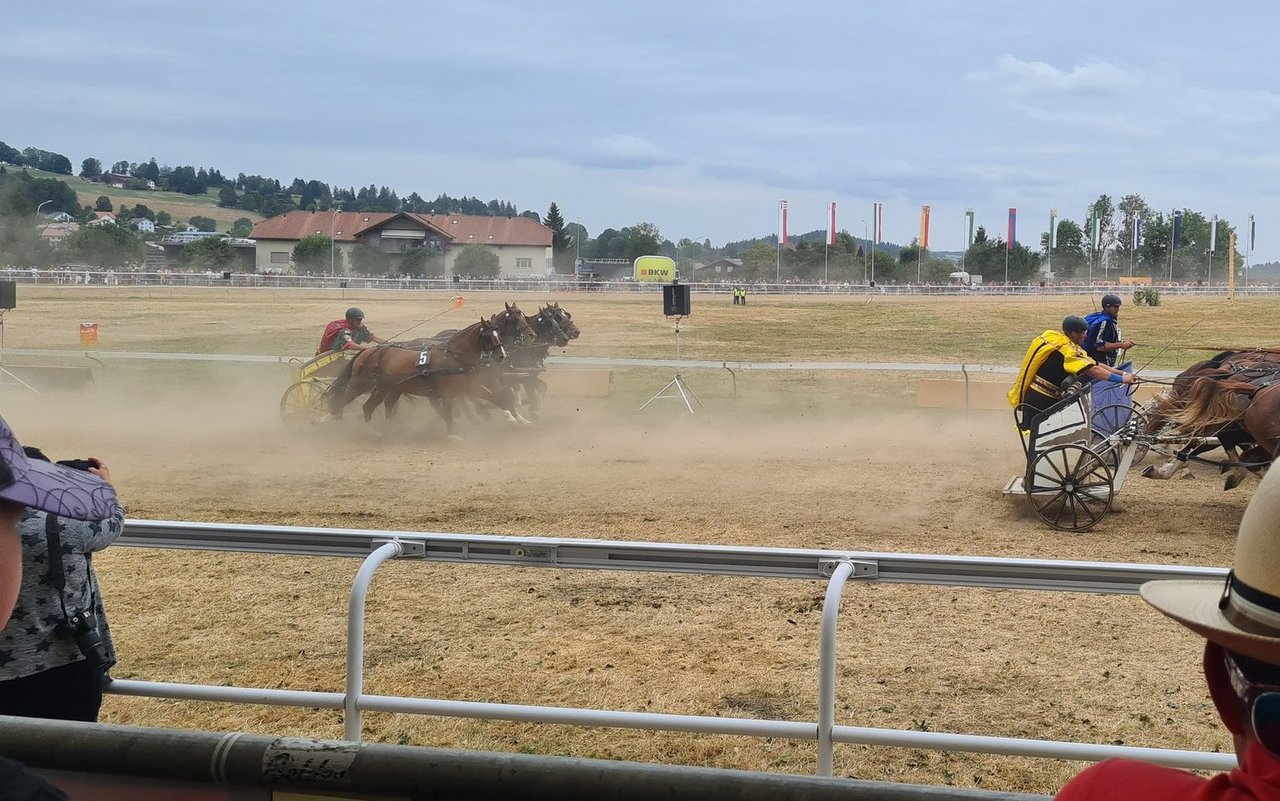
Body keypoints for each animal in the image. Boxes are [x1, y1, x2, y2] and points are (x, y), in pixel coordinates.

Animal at [325, 316, 509, 437]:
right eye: (487, 335)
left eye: (499, 333)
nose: (502, 355)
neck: (453, 358)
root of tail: (368, 351)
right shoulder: (447, 393)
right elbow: (448, 412)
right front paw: (452, 434)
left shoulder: (469, 387)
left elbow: (497, 397)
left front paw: (511, 417)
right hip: (362, 385)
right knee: (349, 403)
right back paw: (358, 427)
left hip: (389, 389)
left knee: (380, 406)